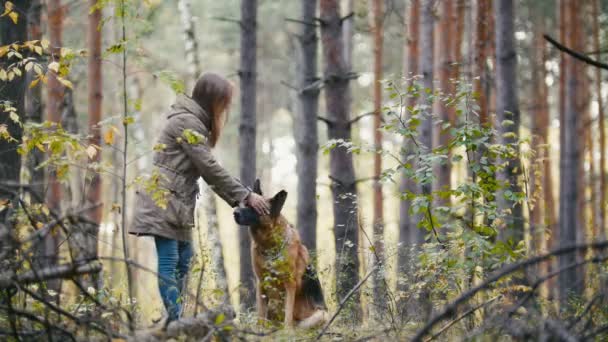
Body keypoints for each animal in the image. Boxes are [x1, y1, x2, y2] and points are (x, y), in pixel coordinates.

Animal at [233, 180, 328, 328]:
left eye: (254, 208)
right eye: (243, 204)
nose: (235, 213)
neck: (270, 247)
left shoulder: (290, 285)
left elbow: (287, 316)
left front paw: (287, 331)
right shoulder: (261, 284)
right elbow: (260, 316)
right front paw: (259, 330)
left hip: (321, 314)